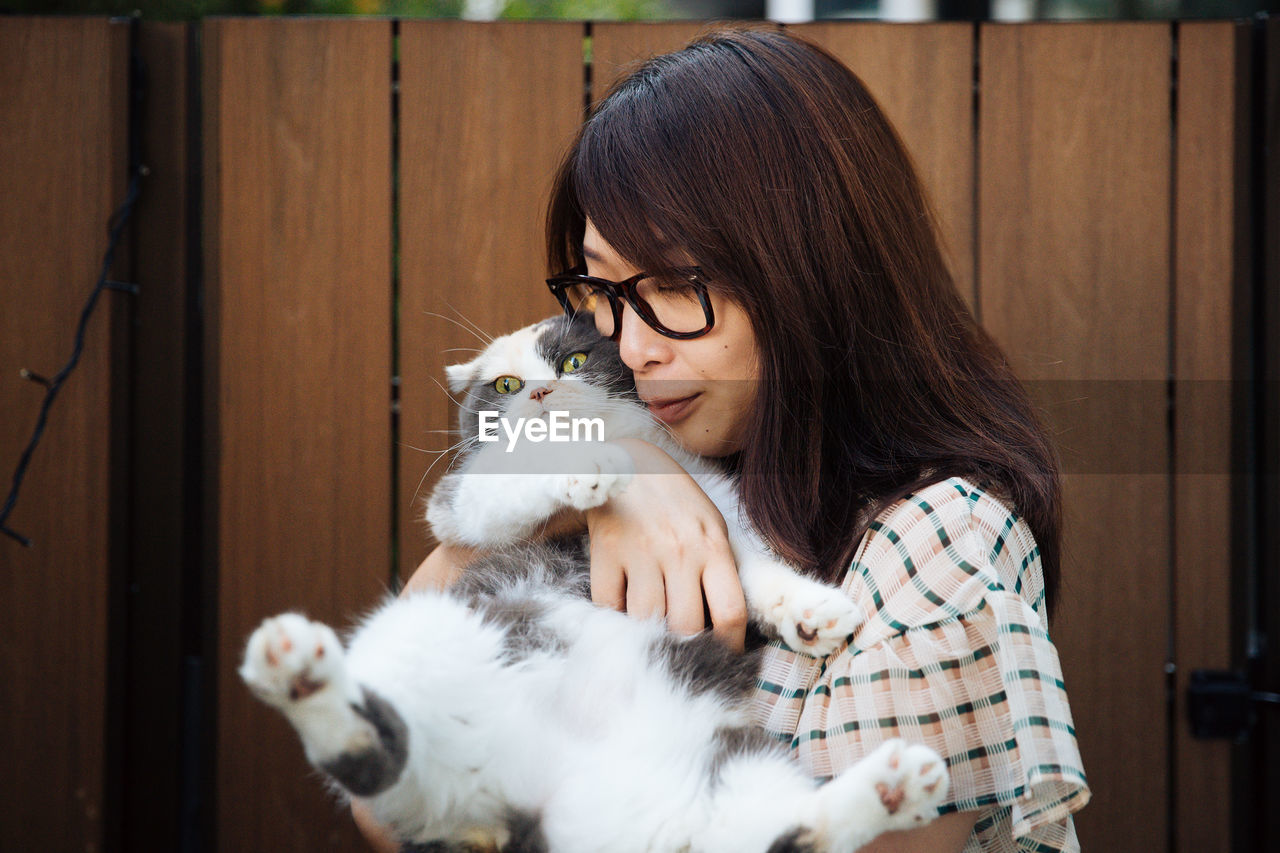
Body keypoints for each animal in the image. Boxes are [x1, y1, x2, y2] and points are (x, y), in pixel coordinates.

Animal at [241, 313, 952, 850]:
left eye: (574, 361)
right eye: (506, 383)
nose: (539, 395)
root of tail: (532, 801)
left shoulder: (719, 519)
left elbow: (755, 570)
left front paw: (812, 612)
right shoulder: (459, 502)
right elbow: (519, 477)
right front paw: (585, 465)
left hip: (734, 767)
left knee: (784, 834)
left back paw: (894, 787)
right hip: (421, 632)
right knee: (374, 752)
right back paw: (295, 671)